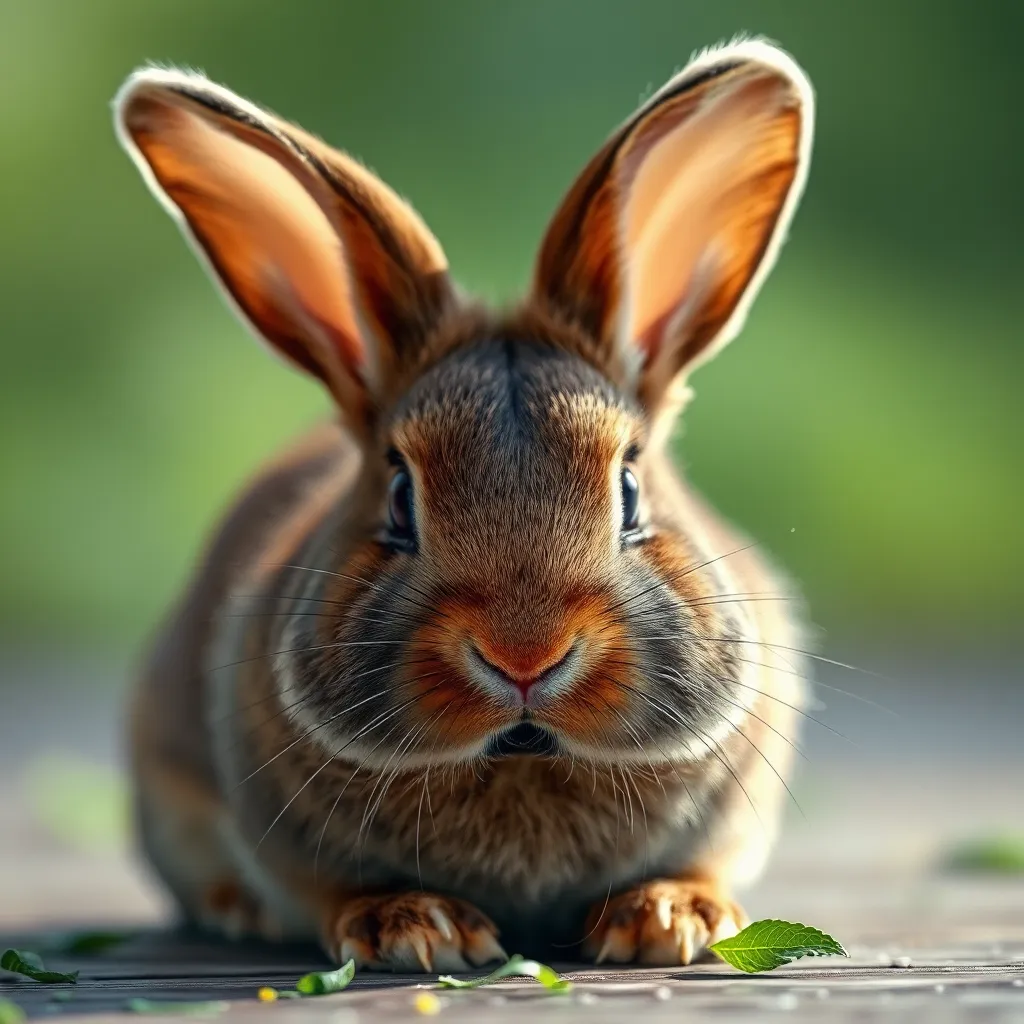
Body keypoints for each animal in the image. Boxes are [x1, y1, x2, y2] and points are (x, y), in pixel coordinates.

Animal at [115, 37, 814, 971]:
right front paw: (418, 930)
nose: (525, 654)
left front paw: (670, 918)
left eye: (630, 489)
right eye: (399, 496)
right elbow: (330, 889)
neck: (524, 760)